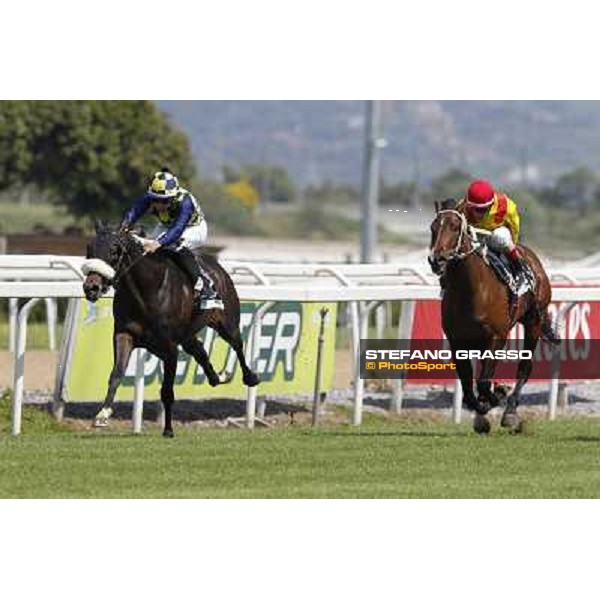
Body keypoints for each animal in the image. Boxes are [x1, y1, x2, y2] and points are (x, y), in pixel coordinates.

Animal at [80, 220, 258, 436]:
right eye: (89, 249)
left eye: (115, 251)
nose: (91, 288)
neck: (147, 290)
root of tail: (218, 268)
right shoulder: (124, 334)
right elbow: (116, 374)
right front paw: (102, 415)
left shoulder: (170, 347)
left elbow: (167, 391)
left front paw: (168, 430)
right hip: (187, 335)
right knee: (199, 349)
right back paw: (216, 377)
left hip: (227, 322)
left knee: (238, 344)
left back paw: (249, 376)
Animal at [428, 202, 556, 432]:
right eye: (432, 228)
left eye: (455, 227)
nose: (437, 259)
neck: (471, 290)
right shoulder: (457, 340)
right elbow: (468, 386)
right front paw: (482, 410)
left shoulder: (496, 336)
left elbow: (484, 381)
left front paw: (498, 396)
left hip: (533, 321)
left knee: (524, 367)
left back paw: (510, 412)